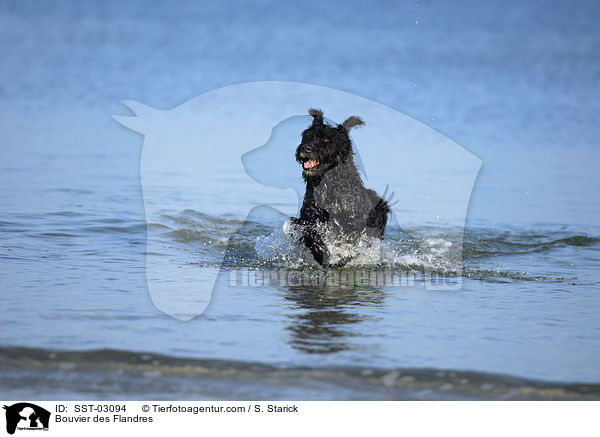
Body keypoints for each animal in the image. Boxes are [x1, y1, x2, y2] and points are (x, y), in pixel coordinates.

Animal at [290, 109, 392, 266]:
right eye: (307, 136)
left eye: (326, 140)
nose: (305, 148)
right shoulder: (308, 218)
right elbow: (309, 231)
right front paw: (319, 249)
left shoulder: (355, 225)